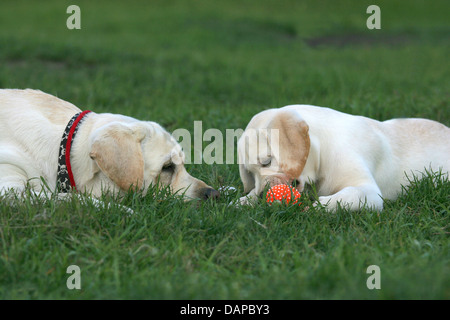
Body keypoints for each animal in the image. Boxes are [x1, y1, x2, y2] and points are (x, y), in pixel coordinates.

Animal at [237, 104, 448, 211]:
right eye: (250, 173)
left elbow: (347, 196)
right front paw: (245, 200)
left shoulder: (370, 193)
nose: (263, 196)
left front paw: (318, 206)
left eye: (266, 161)